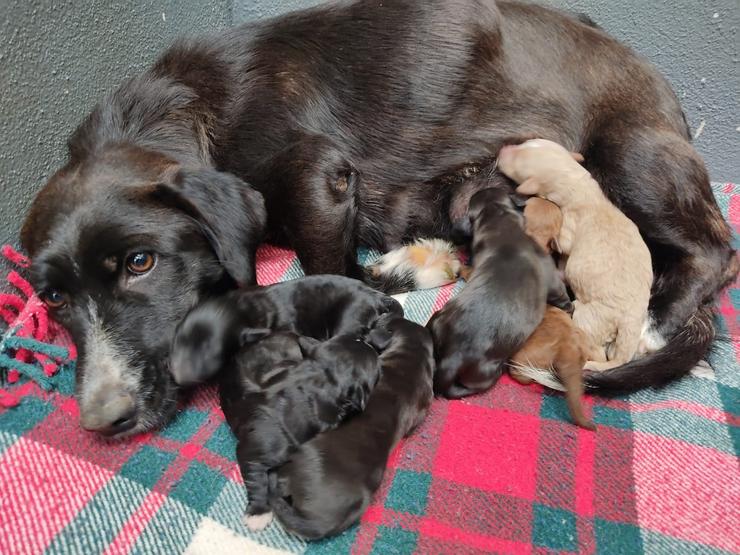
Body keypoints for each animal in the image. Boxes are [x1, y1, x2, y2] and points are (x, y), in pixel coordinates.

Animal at [428, 188, 572, 400]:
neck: (502, 229)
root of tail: (453, 358)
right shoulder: (554, 282)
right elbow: (563, 299)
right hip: (487, 373)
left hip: (436, 319)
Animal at [498, 140, 652, 374]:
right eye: (525, 143)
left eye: (515, 167)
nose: (501, 150)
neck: (576, 184)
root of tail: (631, 319)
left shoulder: (568, 224)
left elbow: (563, 244)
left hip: (591, 317)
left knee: (596, 347)